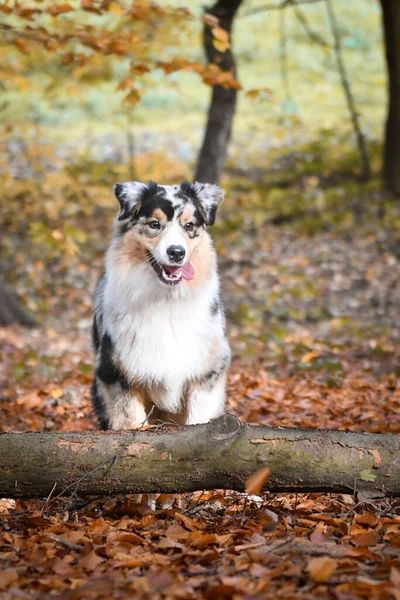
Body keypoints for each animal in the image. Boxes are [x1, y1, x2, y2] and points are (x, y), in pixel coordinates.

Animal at [89, 180, 230, 428]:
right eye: (155, 224)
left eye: (189, 225)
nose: (176, 252)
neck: (166, 299)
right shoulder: (114, 373)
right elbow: (131, 422)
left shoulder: (207, 369)